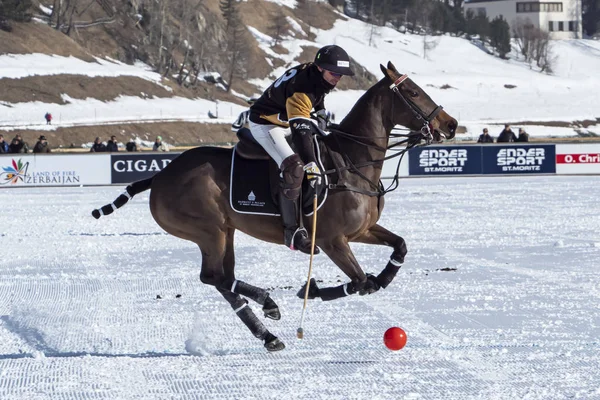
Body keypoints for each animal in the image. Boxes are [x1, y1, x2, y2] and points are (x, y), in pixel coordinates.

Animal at [94, 61, 458, 352]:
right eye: (412, 92)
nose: (451, 124)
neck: (352, 163)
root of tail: (159, 176)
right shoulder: (332, 240)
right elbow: (359, 281)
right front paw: (312, 290)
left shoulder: (362, 230)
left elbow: (398, 249)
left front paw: (379, 277)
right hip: (207, 230)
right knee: (213, 277)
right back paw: (267, 305)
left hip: (225, 231)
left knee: (223, 280)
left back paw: (267, 331)